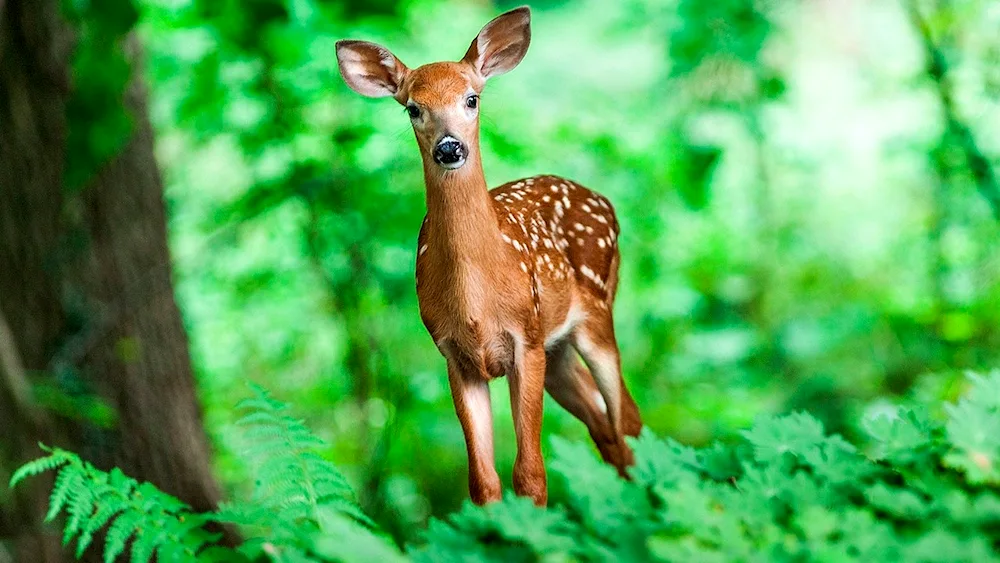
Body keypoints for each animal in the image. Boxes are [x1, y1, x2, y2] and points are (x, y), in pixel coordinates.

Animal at [338, 5, 640, 506]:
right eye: (413, 108)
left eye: (472, 99)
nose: (449, 147)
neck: (477, 300)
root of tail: (604, 201)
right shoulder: (455, 355)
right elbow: (482, 481)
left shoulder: (525, 339)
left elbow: (530, 474)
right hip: (557, 349)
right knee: (605, 425)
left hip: (595, 313)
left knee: (627, 420)